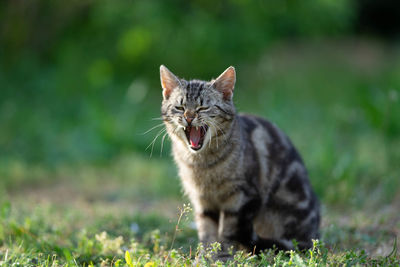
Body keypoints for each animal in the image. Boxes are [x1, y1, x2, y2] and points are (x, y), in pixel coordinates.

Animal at [159, 65, 318, 258]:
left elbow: (229, 232)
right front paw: (206, 257)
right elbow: (207, 233)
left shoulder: (241, 198)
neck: (203, 164)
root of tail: (313, 235)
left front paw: (224, 257)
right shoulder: (203, 202)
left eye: (203, 107)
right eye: (180, 107)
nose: (189, 117)